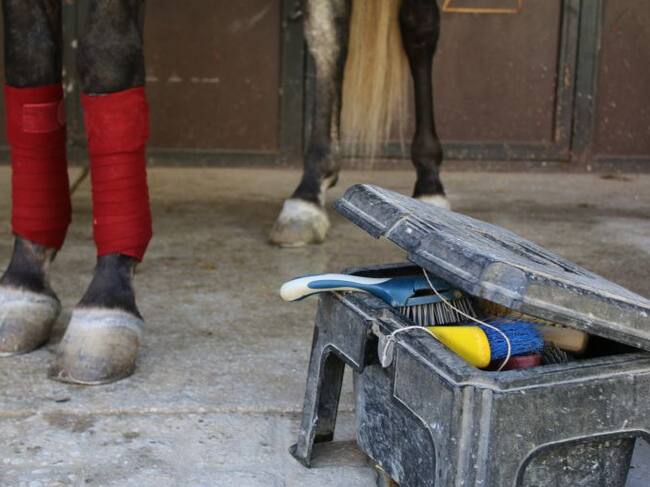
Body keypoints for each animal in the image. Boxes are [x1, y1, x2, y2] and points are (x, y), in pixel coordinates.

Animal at [0, 0, 445, 385]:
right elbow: (29, 57)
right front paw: (23, 285)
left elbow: (106, 56)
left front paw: (105, 303)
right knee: (327, 34)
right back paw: (307, 196)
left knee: (419, 27)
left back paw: (429, 188)